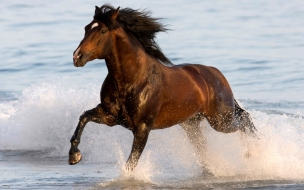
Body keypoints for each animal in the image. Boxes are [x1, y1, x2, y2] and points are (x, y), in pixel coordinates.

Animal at [69, 4, 256, 172]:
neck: (132, 80)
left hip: (220, 120)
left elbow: (131, 162)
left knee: (244, 120)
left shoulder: (143, 127)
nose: (77, 57)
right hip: (192, 124)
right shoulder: (111, 116)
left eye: (102, 31)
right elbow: (84, 117)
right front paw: (74, 156)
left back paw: (251, 153)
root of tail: (217, 74)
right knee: (204, 144)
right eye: (86, 28)